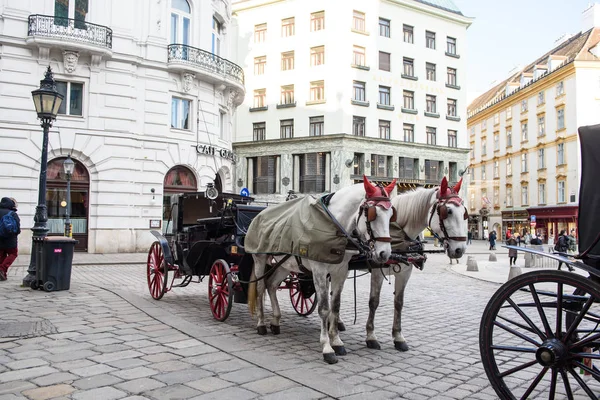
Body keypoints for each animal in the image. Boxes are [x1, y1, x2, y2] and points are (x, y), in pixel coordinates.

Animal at [246, 177, 396, 364]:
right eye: (372, 214)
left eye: (391, 215)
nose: (385, 254)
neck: (331, 224)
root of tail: (261, 214)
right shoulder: (319, 270)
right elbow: (324, 308)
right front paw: (327, 347)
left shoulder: (341, 271)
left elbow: (335, 306)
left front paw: (337, 341)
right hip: (259, 259)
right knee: (260, 288)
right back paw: (261, 324)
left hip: (284, 264)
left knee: (271, 285)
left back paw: (275, 321)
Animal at [364, 177, 472, 352]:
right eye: (447, 211)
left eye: (464, 212)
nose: (459, 250)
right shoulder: (377, 271)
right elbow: (374, 302)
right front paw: (371, 336)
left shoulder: (405, 272)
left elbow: (399, 303)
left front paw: (398, 337)